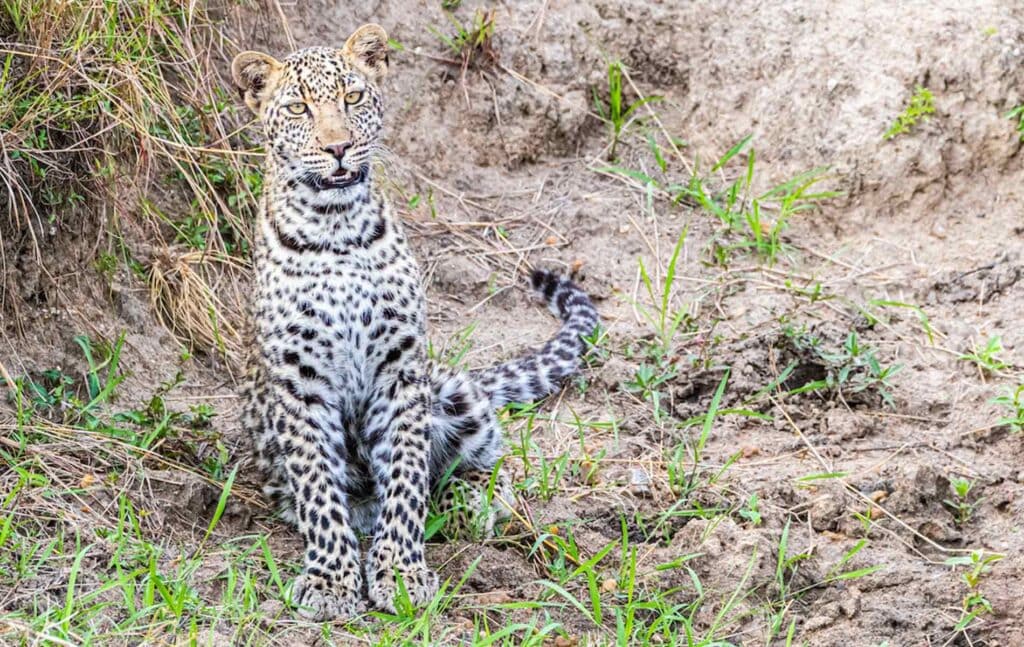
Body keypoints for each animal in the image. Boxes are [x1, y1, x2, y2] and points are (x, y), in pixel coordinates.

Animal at [231, 23, 599, 620]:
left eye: (352, 97)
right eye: (298, 107)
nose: (337, 147)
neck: (336, 226)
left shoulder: (400, 372)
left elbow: (406, 477)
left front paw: (400, 572)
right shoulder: (300, 382)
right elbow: (318, 486)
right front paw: (332, 579)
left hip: (453, 392)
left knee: (476, 466)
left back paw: (479, 501)